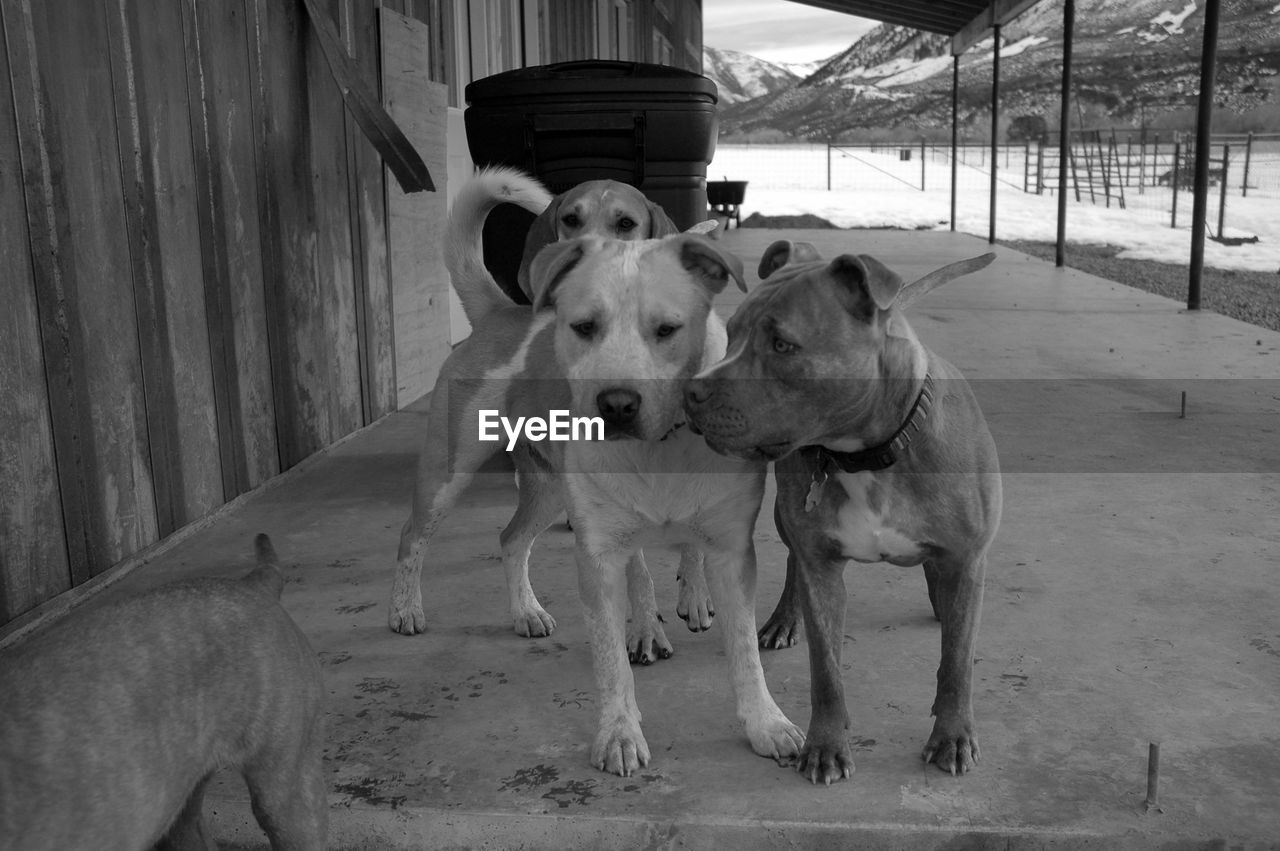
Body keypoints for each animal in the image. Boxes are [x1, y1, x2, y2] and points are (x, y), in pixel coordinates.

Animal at [389, 174, 798, 778]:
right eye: (582, 328)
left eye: (667, 330)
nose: (616, 404)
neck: (660, 446)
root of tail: (500, 313)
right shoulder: (601, 555)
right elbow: (612, 662)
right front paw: (620, 734)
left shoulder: (730, 551)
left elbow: (745, 650)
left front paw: (765, 724)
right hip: (450, 469)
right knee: (412, 534)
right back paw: (406, 609)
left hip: (547, 489)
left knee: (510, 538)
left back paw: (526, 611)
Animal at [686, 239, 1003, 783]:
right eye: (731, 335)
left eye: (783, 345)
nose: (692, 392)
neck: (872, 451)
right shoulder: (822, 570)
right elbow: (826, 672)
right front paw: (826, 746)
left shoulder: (967, 560)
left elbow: (958, 664)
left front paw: (953, 736)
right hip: (786, 516)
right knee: (792, 562)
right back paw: (783, 620)